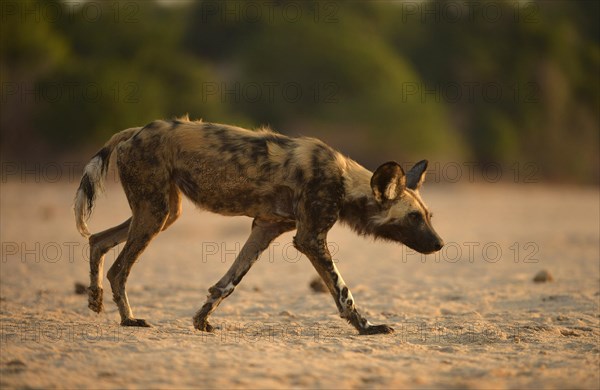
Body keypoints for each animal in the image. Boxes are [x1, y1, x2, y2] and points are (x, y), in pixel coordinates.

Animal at [74, 116, 440, 336]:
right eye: (413, 217)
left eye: (429, 216)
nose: (439, 244)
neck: (345, 181)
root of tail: (136, 130)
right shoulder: (309, 239)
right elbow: (343, 291)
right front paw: (366, 327)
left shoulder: (266, 228)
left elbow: (227, 284)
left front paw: (202, 320)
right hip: (154, 213)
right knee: (119, 268)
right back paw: (128, 319)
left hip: (161, 214)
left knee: (97, 240)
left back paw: (95, 300)